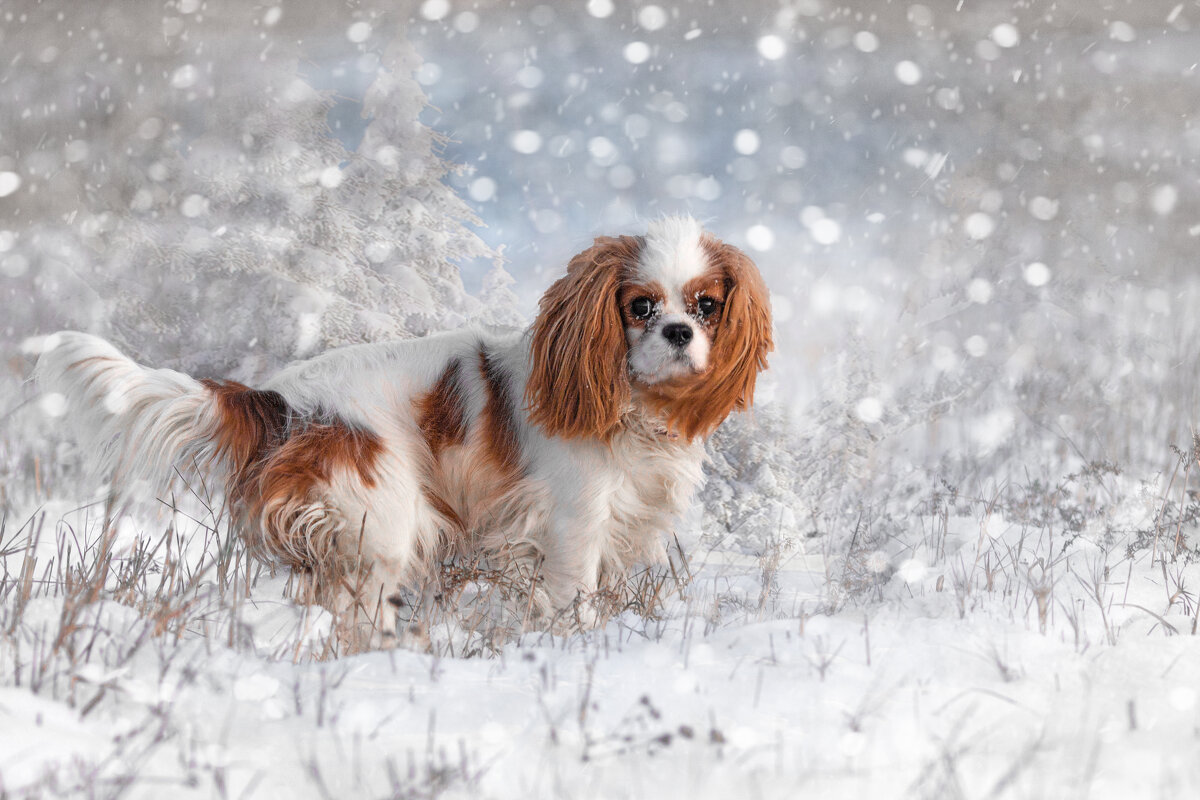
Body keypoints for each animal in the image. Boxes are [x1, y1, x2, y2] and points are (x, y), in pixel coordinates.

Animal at [35, 215, 777, 642]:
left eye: (707, 306)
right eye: (640, 306)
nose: (679, 332)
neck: (634, 408)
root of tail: (277, 399)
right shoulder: (573, 523)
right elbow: (574, 600)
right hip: (381, 527)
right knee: (359, 615)